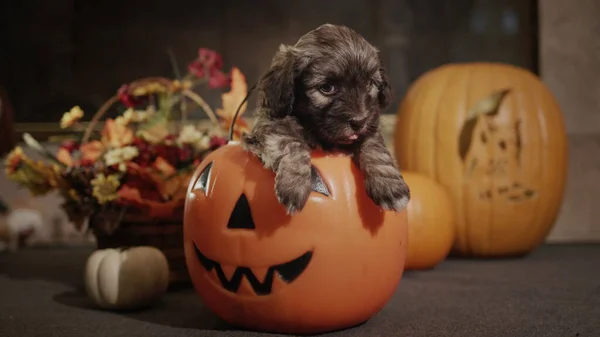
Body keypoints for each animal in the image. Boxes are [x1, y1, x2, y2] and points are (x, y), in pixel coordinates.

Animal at [241, 23, 410, 213]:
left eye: (370, 83)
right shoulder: (268, 125)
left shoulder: (370, 127)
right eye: (327, 87)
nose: (359, 122)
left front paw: (389, 185)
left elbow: (375, 147)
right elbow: (290, 142)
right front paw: (294, 184)